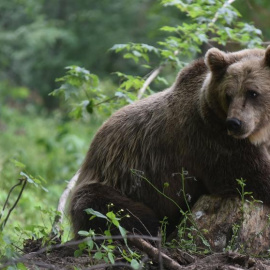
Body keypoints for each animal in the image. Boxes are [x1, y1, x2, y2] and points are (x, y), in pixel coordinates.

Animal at [69, 46, 270, 238]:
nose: (234, 123)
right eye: (228, 95)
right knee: (102, 207)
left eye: (252, 92)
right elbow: (253, 176)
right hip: (113, 181)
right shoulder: (214, 142)